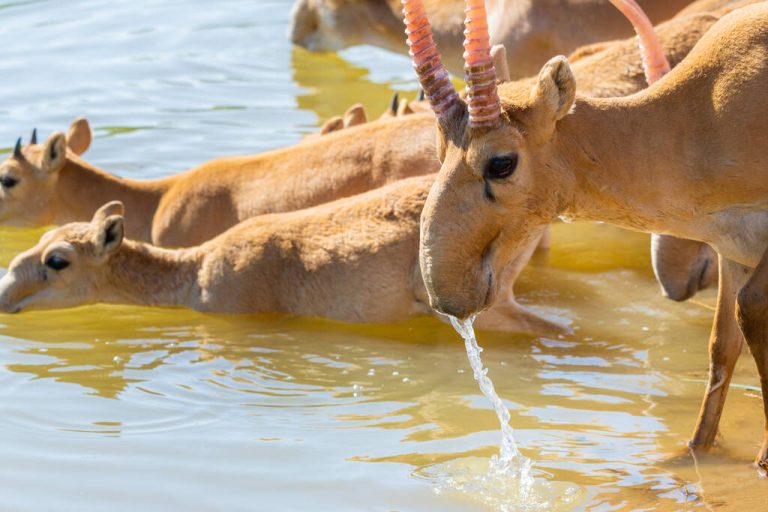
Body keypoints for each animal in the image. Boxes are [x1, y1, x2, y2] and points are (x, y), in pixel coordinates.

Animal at [408, 0, 768, 470]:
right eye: (438, 150)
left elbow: (753, 312)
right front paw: (692, 453)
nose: (446, 292)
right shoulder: (733, 249)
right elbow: (722, 345)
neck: (707, 109)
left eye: (501, 163)